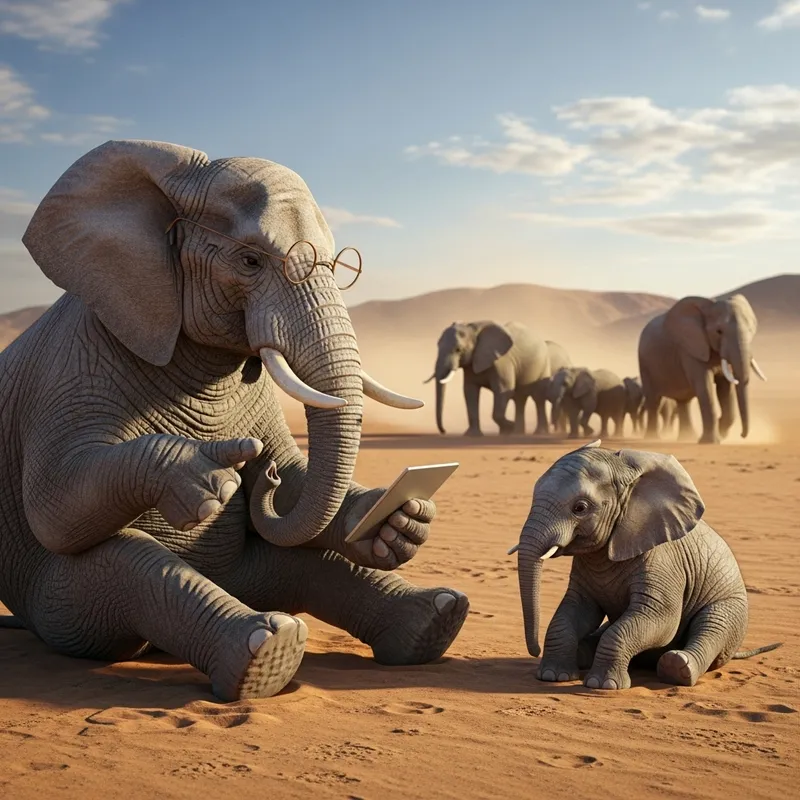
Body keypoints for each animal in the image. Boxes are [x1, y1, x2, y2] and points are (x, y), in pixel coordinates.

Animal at [0, 139, 471, 703]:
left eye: (343, 267)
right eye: (249, 261)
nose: (260, 473)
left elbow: (298, 479)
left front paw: (400, 520)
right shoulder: (76, 359)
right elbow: (57, 506)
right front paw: (211, 474)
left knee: (306, 565)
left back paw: (436, 617)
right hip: (61, 608)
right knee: (127, 568)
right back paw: (267, 648)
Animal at [508, 440, 782, 689]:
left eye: (580, 508)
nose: (534, 650)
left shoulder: (663, 561)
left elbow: (660, 618)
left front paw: (602, 685)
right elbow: (574, 611)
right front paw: (554, 676)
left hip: (732, 609)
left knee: (713, 625)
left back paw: (677, 667)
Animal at [638, 294, 767, 444]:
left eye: (751, 330)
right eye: (719, 331)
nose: (742, 435)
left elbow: (725, 387)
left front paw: (721, 432)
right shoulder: (691, 348)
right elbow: (705, 386)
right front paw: (712, 441)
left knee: (684, 402)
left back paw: (687, 438)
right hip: (644, 364)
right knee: (654, 401)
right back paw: (653, 438)